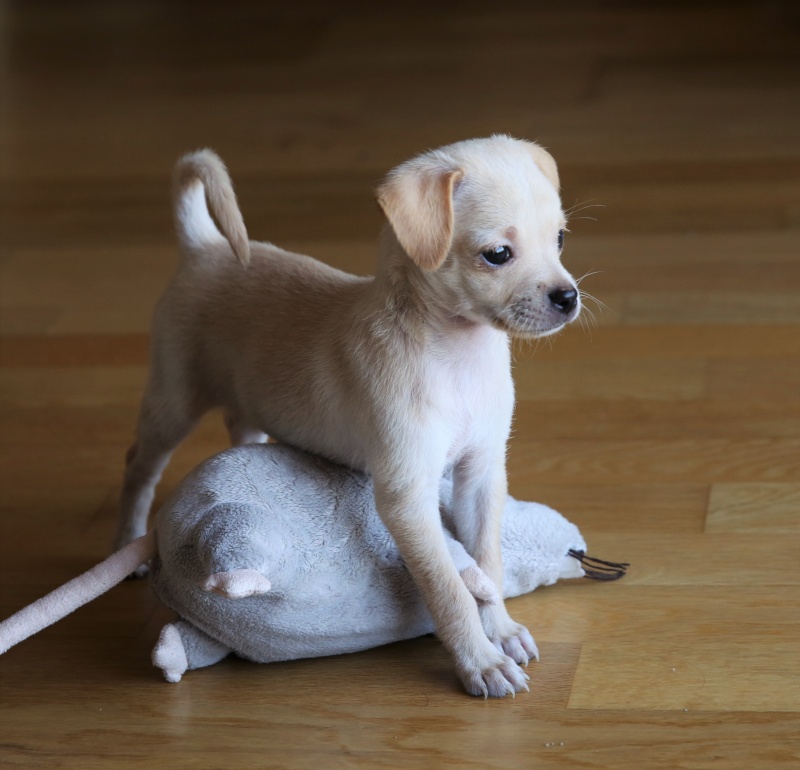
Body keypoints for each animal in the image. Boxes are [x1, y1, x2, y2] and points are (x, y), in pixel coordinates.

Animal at [115, 136, 580, 696]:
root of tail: (205, 246)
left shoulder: (481, 476)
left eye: (559, 238)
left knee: (238, 430)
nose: (569, 297)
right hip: (174, 401)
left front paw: (502, 631)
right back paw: (126, 540)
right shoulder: (407, 497)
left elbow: (488, 564)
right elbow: (448, 588)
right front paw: (479, 661)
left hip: (243, 403)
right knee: (139, 464)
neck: (457, 355)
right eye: (497, 255)